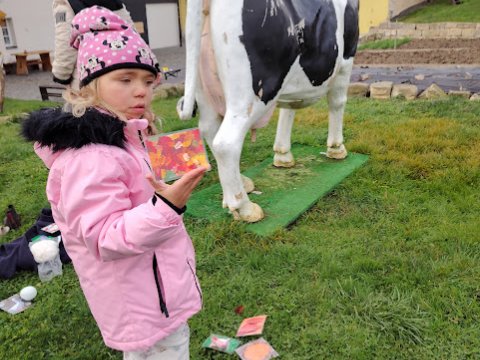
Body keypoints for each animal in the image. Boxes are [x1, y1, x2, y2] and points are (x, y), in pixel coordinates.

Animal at [178, 0, 358, 222]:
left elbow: (288, 110)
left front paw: (283, 155)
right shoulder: (346, 59)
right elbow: (337, 103)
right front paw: (336, 148)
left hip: (205, 91)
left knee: (209, 130)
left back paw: (241, 185)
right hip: (250, 92)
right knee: (226, 142)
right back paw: (245, 207)